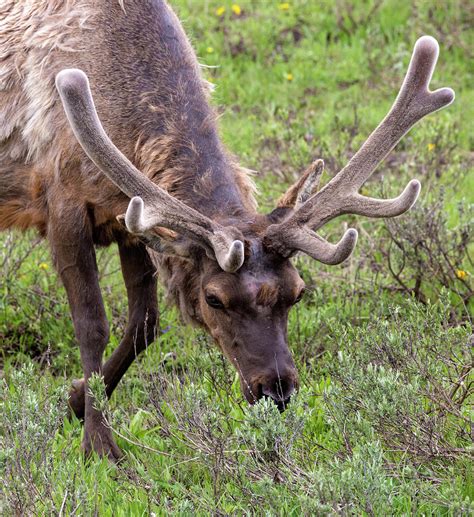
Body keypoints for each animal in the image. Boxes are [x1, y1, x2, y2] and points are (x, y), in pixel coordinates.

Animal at [0, 0, 454, 460]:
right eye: (214, 298)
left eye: (297, 293)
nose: (276, 392)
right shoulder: (62, 202)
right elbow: (92, 325)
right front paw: (98, 443)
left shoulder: (130, 219)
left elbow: (145, 324)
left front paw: (75, 399)